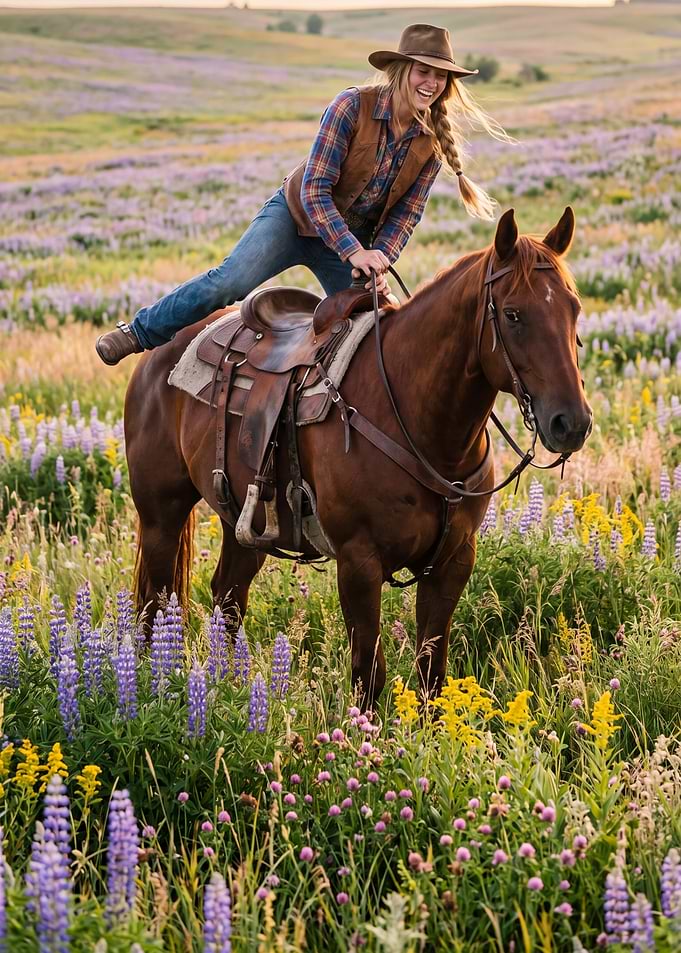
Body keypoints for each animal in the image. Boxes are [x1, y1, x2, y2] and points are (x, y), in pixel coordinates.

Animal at [125, 206, 592, 709]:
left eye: (574, 307)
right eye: (512, 313)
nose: (572, 422)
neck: (418, 421)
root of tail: (158, 357)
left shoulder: (453, 560)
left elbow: (432, 671)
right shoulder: (358, 562)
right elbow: (369, 671)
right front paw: (362, 733)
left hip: (244, 525)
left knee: (227, 598)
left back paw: (229, 685)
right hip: (161, 515)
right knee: (154, 603)